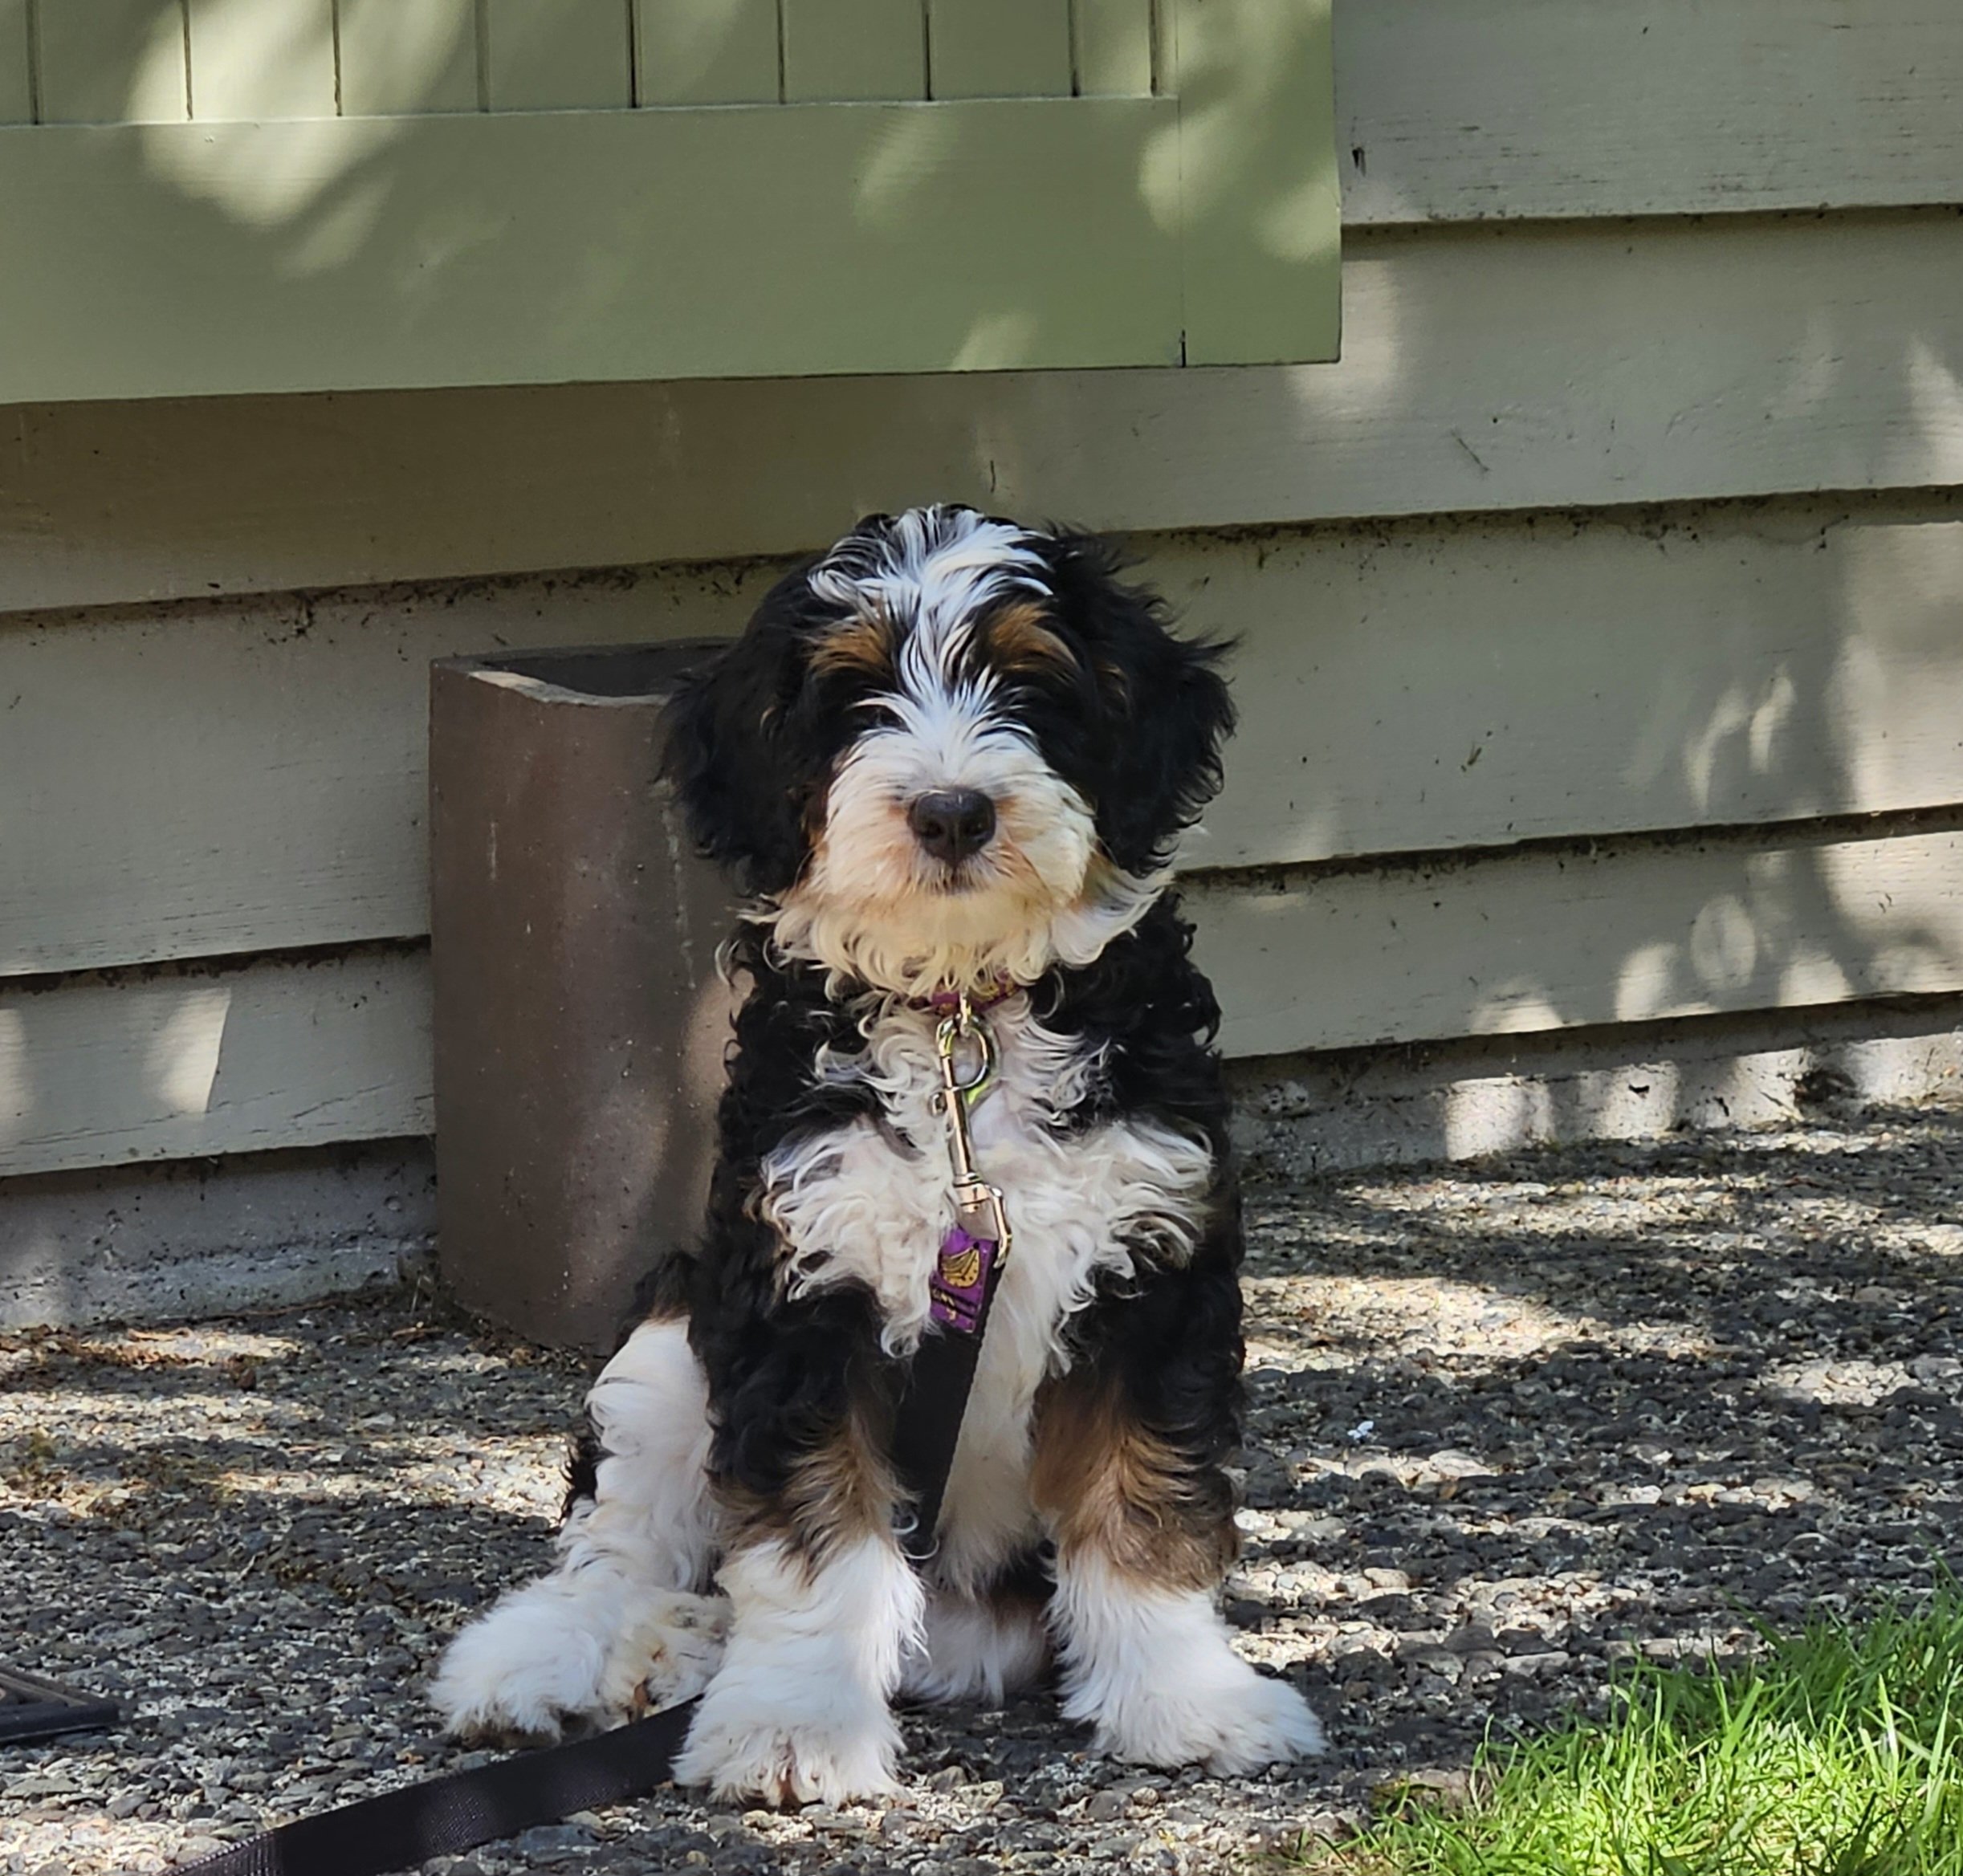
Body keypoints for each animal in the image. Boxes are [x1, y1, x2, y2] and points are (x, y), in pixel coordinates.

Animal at [430, 502, 1319, 1805]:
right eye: (853, 697)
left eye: (1029, 682)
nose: (952, 811)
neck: (962, 1019)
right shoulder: (801, 1287)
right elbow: (812, 1545)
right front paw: (797, 1723)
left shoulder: (1153, 1271)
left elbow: (1145, 1505)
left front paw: (1185, 1700)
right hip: (668, 1341)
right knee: (625, 1546)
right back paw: (565, 1654)